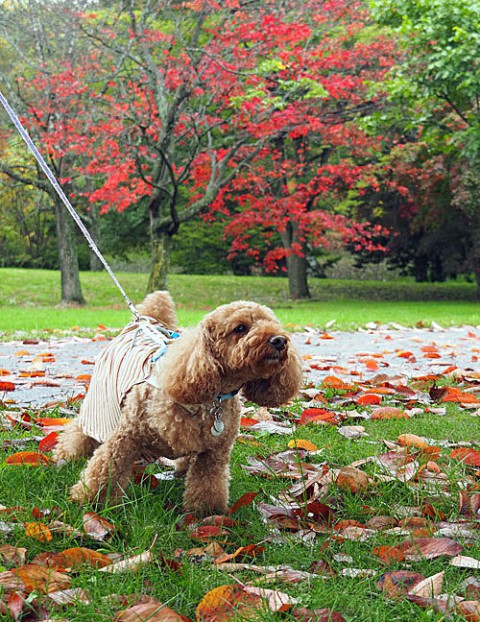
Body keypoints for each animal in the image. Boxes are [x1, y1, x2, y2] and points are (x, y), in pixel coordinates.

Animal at [54, 292, 302, 516]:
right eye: (240, 328)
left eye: (272, 324)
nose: (279, 340)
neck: (212, 398)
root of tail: (140, 323)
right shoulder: (126, 438)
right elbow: (106, 468)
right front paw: (92, 501)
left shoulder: (214, 453)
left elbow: (208, 483)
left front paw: (206, 513)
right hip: (102, 401)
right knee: (80, 429)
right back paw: (66, 455)